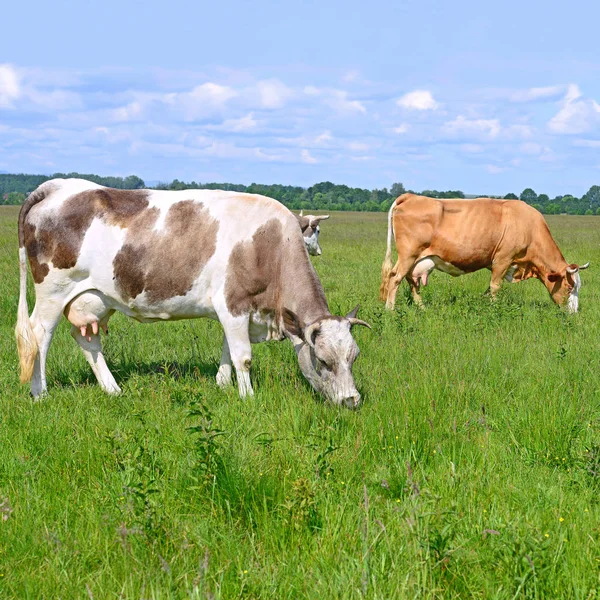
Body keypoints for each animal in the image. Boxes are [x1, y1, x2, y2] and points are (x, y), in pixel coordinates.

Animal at [15, 178, 370, 408]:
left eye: (354, 357)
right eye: (323, 361)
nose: (352, 401)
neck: (271, 244)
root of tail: (57, 186)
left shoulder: (236, 312)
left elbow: (227, 349)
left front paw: (223, 384)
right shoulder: (234, 303)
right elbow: (243, 356)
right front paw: (248, 398)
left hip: (95, 297)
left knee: (86, 339)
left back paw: (113, 389)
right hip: (53, 292)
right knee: (39, 337)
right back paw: (40, 394)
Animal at [382, 193, 588, 314]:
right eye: (569, 287)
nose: (574, 313)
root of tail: (411, 196)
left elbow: (489, 288)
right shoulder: (503, 259)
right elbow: (495, 287)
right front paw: (495, 309)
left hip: (417, 259)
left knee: (411, 282)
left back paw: (423, 308)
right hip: (408, 255)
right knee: (394, 278)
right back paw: (390, 310)